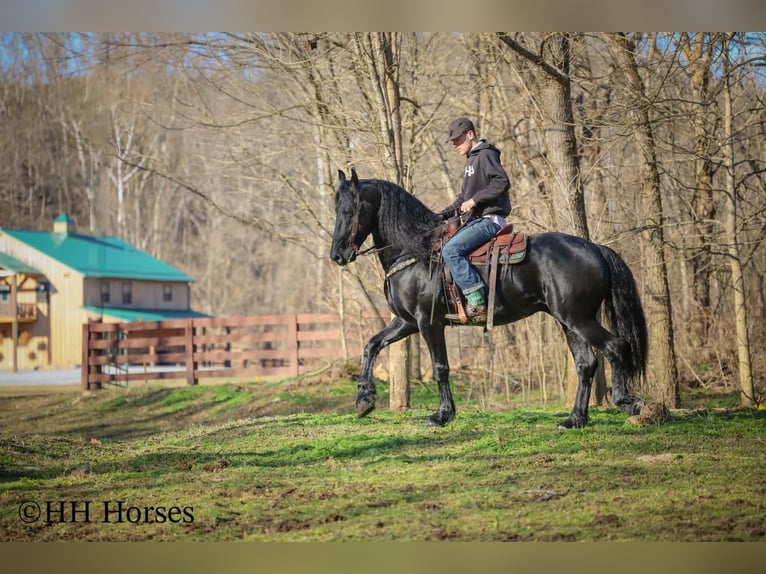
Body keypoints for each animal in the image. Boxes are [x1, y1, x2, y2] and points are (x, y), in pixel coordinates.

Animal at [329, 169, 648, 428]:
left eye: (349, 210)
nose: (337, 256)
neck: (415, 251)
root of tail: (595, 248)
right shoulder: (406, 322)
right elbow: (371, 345)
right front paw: (364, 399)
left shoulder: (428, 322)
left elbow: (441, 368)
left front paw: (442, 415)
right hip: (568, 321)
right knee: (586, 364)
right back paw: (575, 419)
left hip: (578, 319)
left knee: (615, 347)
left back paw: (627, 402)